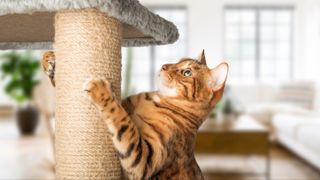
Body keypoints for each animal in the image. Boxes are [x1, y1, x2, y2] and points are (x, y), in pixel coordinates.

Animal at [41, 50, 229, 179]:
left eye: (187, 72)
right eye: (178, 61)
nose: (164, 66)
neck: (157, 100)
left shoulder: (144, 159)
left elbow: (121, 118)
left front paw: (100, 90)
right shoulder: (126, 104)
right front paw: (50, 60)